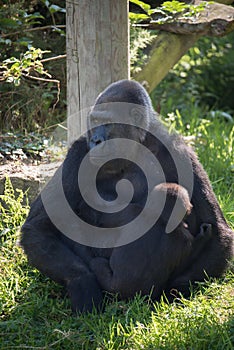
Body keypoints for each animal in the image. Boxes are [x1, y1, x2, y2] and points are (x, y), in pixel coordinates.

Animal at [20, 80, 234, 314]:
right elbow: (40, 227)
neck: (136, 144)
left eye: (107, 122)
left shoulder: (180, 150)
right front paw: (82, 284)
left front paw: (177, 290)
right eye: (94, 121)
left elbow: (218, 231)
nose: (96, 140)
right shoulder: (78, 151)